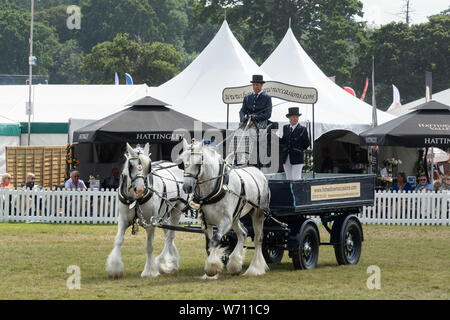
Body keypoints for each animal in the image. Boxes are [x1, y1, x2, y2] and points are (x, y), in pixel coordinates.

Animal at [107, 142, 188, 278]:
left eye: (148, 166)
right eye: (130, 165)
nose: (140, 190)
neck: (136, 199)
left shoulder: (150, 223)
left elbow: (149, 246)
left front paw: (149, 271)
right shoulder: (123, 219)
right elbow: (118, 240)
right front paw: (114, 268)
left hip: (176, 210)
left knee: (170, 237)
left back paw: (162, 262)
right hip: (163, 214)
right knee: (167, 234)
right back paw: (171, 261)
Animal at [180, 139, 270, 278]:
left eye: (198, 163)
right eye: (183, 163)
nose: (187, 187)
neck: (217, 187)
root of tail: (259, 172)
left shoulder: (225, 222)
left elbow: (215, 241)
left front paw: (211, 268)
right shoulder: (207, 223)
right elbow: (209, 245)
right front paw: (212, 271)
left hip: (258, 214)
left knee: (258, 239)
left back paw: (255, 268)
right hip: (235, 217)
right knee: (243, 233)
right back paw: (235, 264)